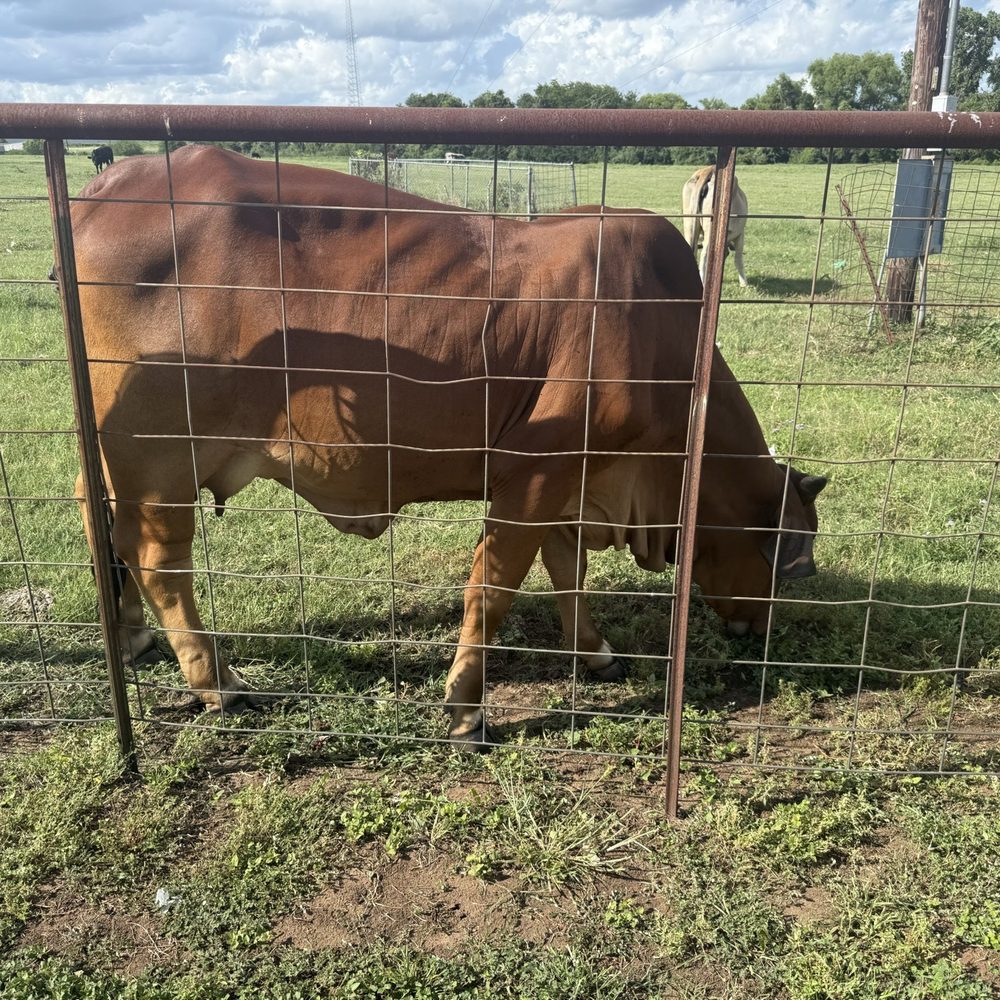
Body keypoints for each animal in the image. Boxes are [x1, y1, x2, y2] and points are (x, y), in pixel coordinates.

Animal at [70, 146, 824, 748]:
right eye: (794, 563)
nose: (759, 632)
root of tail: (109, 186)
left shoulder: (570, 486)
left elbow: (567, 571)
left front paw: (594, 651)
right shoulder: (536, 475)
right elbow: (492, 590)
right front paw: (467, 710)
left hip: (117, 454)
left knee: (104, 522)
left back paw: (132, 634)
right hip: (159, 456)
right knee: (157, 561)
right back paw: (218, 682)